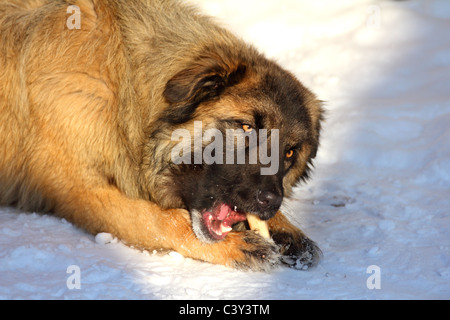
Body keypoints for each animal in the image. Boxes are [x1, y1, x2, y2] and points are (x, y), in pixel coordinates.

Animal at [0, 0, 324, 272]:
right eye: (246, 128)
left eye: (290, 152)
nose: (271, 201)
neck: (124, 92)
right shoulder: (79, 191)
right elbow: (157, 219)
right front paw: (234, 245)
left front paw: (285, 228)